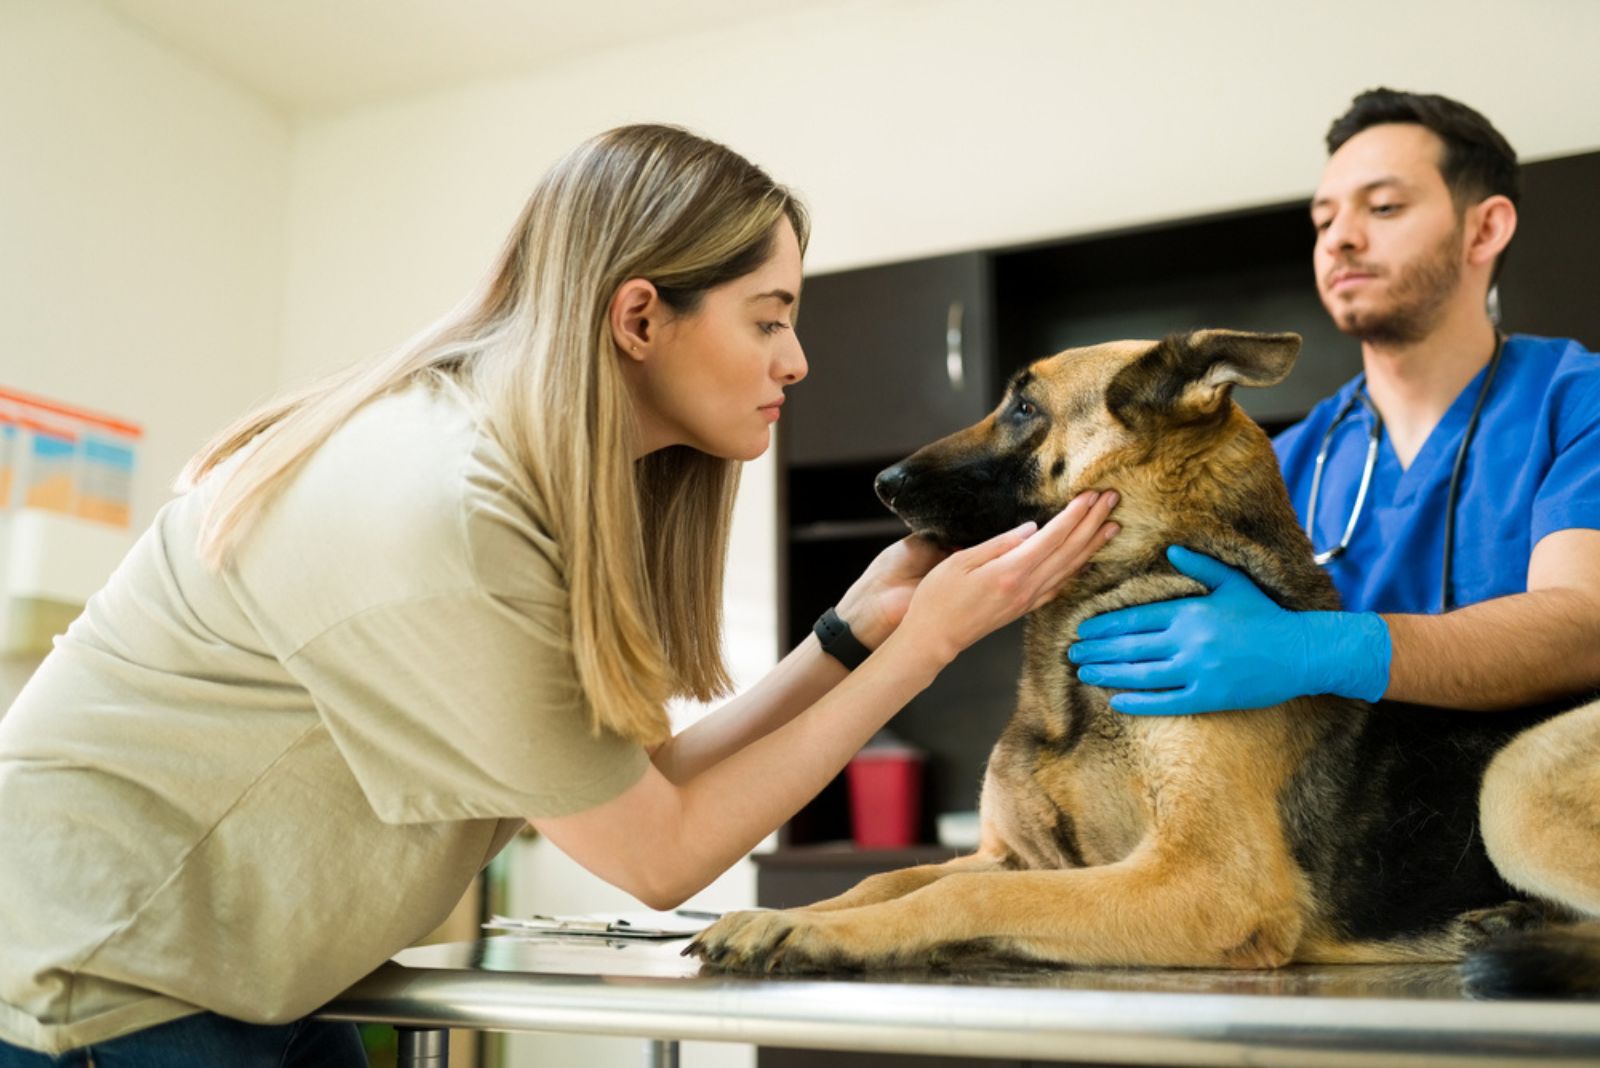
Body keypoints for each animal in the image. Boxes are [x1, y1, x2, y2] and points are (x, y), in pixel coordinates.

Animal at [688, 327, 1600, 991]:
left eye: (1025, 406)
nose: (881, 483)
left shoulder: (1205, 881)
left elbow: (968, 890)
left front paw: (810, 927)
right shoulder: (1016, 853)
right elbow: (893, 881)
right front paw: (802, 912)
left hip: (1512, 781)